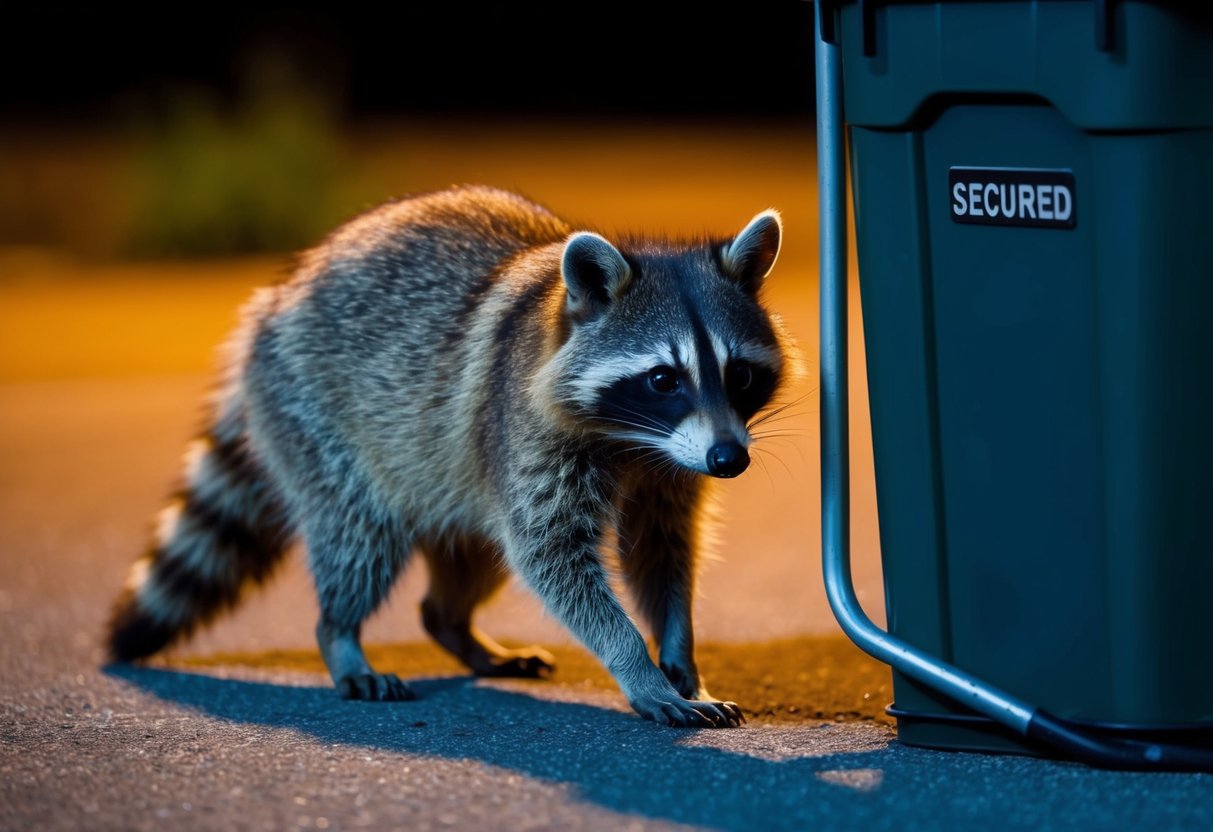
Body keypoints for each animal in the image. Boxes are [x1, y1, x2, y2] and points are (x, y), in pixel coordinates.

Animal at [107, 184, 796, 728]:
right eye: (662, 379)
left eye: (739, 375)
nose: (729, 460)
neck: (634, 438)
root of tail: (271, 302)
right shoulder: (526, 432)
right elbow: (551, 556)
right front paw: (637, 665)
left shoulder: (667, 468)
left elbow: (662, 552)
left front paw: (681, 656)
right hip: (315, 416)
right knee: (360, 536)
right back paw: (340, 636)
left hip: (454, 475)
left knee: (473, 561)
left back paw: (455, 627)